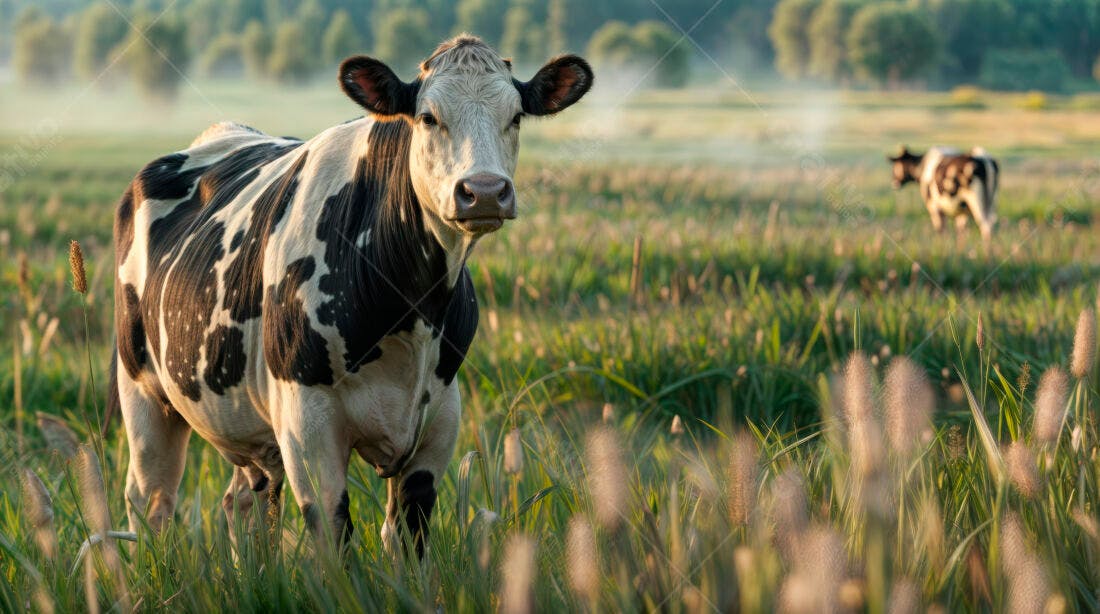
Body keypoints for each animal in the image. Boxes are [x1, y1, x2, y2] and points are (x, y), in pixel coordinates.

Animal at [110, 35, 592, 557]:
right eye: (428, 117)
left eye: (516, 116)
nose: (484, 191)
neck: (409, 314)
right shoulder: (307, 427)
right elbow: (334, 537)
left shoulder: (439, 422)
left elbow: (407, 538)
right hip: (143, 392)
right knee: (150, 502)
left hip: (246, 424)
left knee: (244, 503)